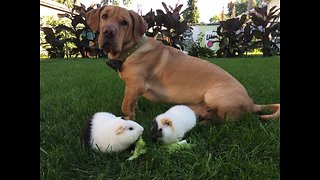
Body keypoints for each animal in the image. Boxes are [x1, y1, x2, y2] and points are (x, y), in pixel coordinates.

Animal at [85, 5, 280, 121]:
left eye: (124, 23)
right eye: (104, 16)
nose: (108, 32)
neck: (132, 49)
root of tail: (251, 103)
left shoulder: (135, 86)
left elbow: (125, 106)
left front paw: (127, 122)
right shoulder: (133, 89)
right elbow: (133, 104)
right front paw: (135, 114)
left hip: (215, 97)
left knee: (223, 122)